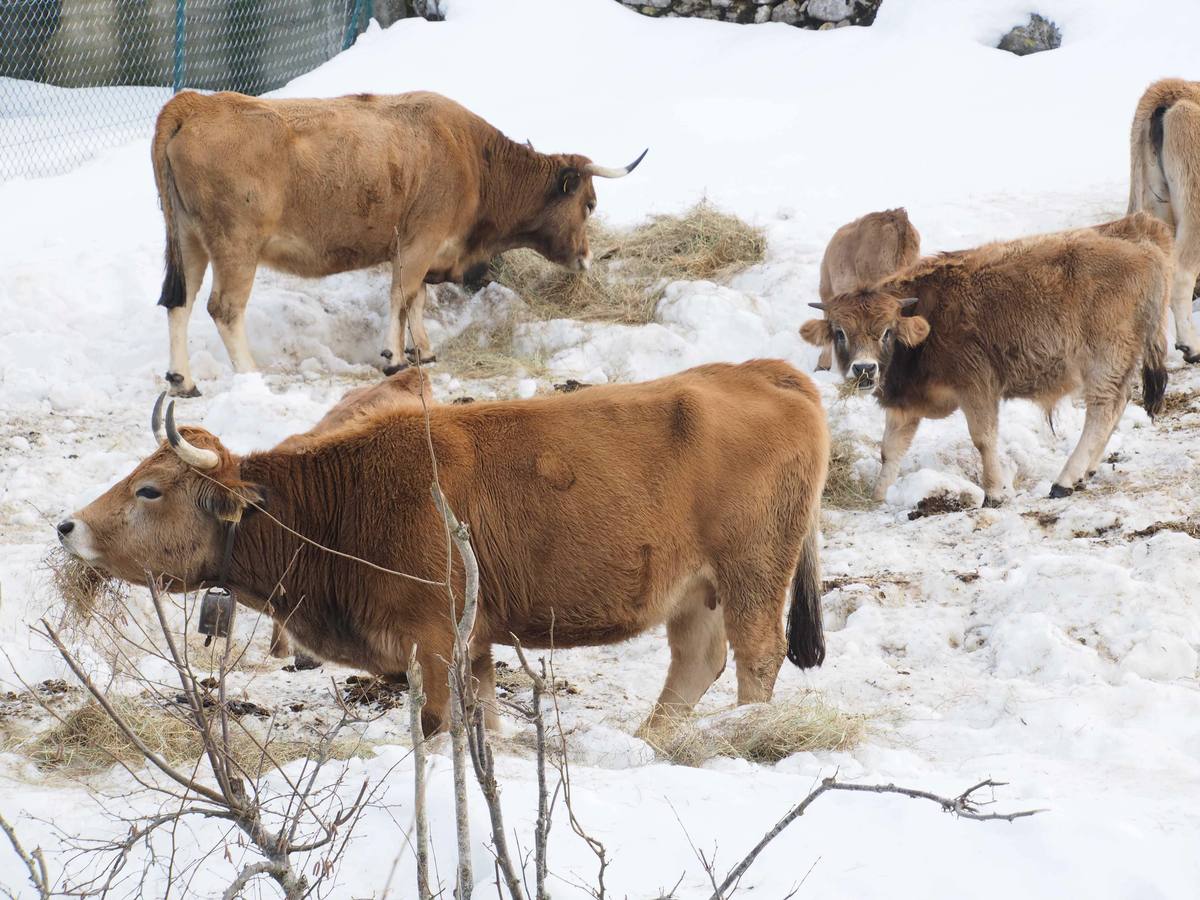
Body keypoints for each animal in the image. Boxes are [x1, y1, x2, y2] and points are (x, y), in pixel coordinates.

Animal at [54, 362, 825, 734]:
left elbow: (433, 725)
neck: (342, 498)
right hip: (697, 592)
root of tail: (767, 372)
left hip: (754, 573)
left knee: (757, 659)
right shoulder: (473, 642)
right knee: (697, 663)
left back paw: (746, 734)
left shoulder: (431, 640)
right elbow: (481, 714)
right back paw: (650, 741)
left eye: (151, 488)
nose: (69, 526)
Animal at [156, 90, 652, 396]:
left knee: (179, 303)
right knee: (223, 308)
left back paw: (183, 380)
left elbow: (414, 299)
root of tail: (193, 104)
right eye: (590, 203)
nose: (587, 258)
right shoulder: (420, 241)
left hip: (189, 241)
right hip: (236, 246)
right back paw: (250, 374)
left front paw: (423, 350)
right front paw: (394, 356)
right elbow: (401, 294)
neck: (474, 159)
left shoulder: (424, 250)